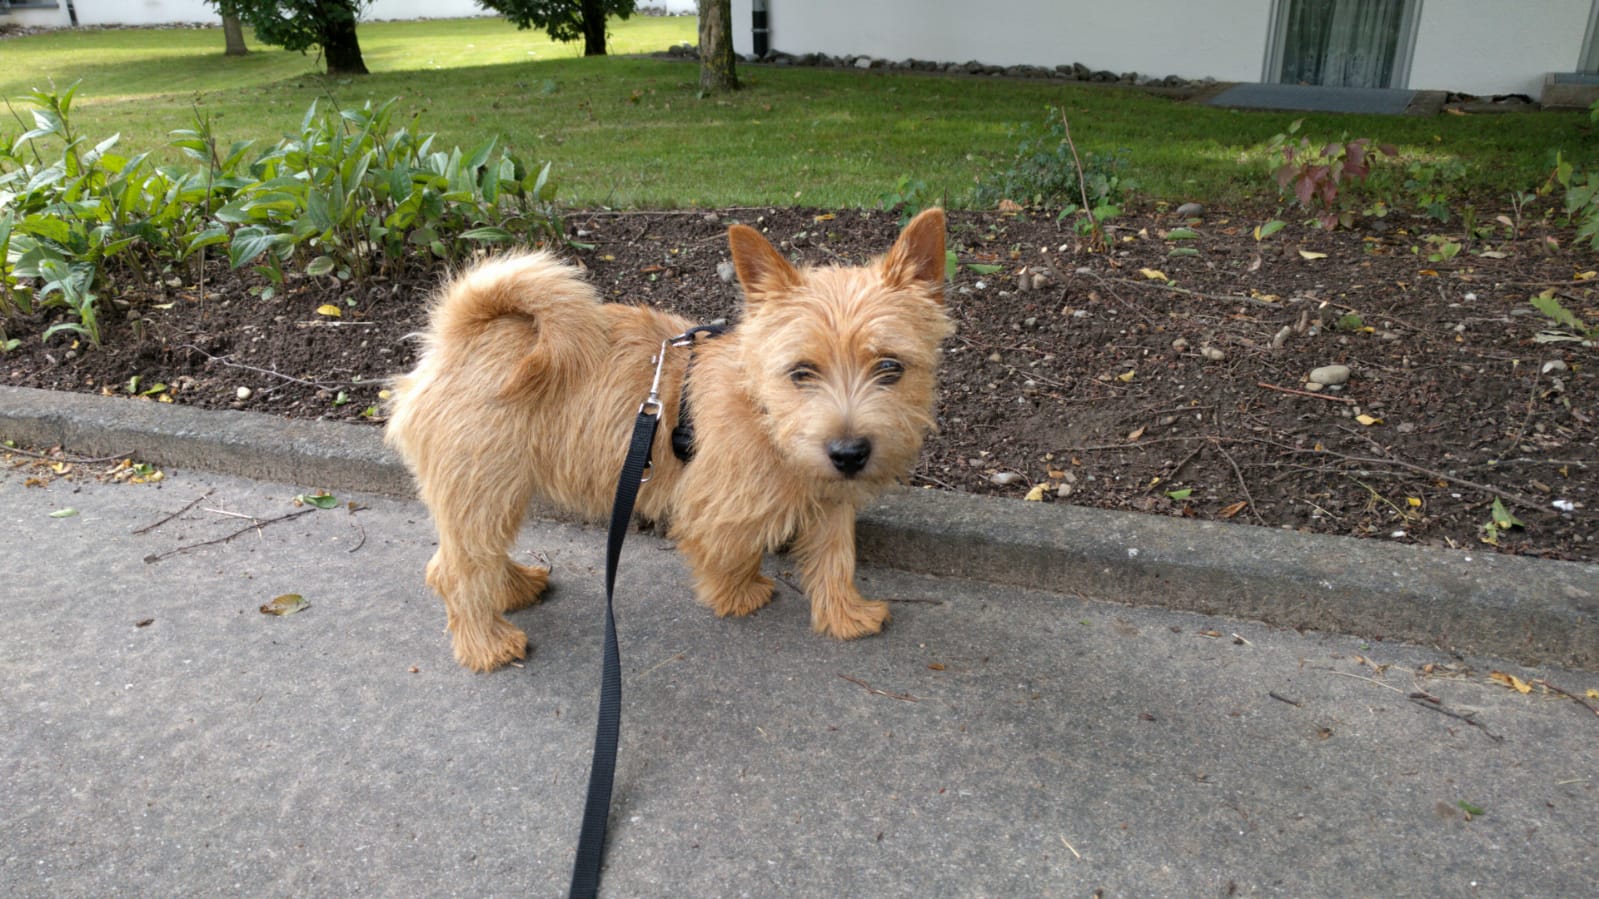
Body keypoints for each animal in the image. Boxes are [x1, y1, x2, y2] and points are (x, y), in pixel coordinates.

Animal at [390, 209, 946, 668]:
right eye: (801, 372)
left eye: (891, 367)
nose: (850, 453)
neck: (759, 405)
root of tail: (459, 336)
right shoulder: (718, 502)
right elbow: (732, 549)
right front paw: (738, 595)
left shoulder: (829, 497)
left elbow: (837, 554)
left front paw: (846, 614)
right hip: (483, 488)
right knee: (452, 570)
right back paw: (487, 644)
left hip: (494, 492)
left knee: (477, 555)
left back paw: (514, 588)